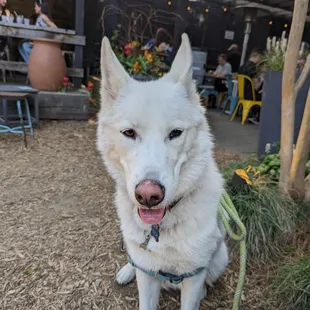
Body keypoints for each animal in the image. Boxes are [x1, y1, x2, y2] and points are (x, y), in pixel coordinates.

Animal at [97, 34, 228, 310]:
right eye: (129, 133)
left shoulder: (194, 276)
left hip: (220, 257)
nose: (148, 195)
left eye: (175, 133)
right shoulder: (147, 276)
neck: (160, 227)